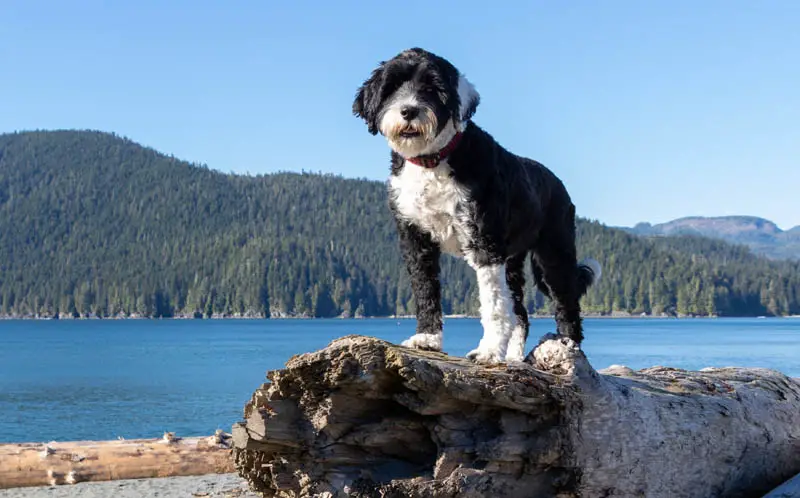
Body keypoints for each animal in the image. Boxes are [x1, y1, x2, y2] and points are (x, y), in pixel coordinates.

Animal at [352, 48, 600, 364]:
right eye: (393, 86)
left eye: (433, 88)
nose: (408, 110)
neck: (433, 161)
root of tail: (557, 182)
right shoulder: (415, 240)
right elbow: (425, 290)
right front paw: (428, 339)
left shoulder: (484, 243)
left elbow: (493, 304)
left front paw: (489, 350)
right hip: (514, 261)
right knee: (520, 312)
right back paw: (514, 357)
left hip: (554, 253)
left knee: (566, 302)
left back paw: (569, 346)